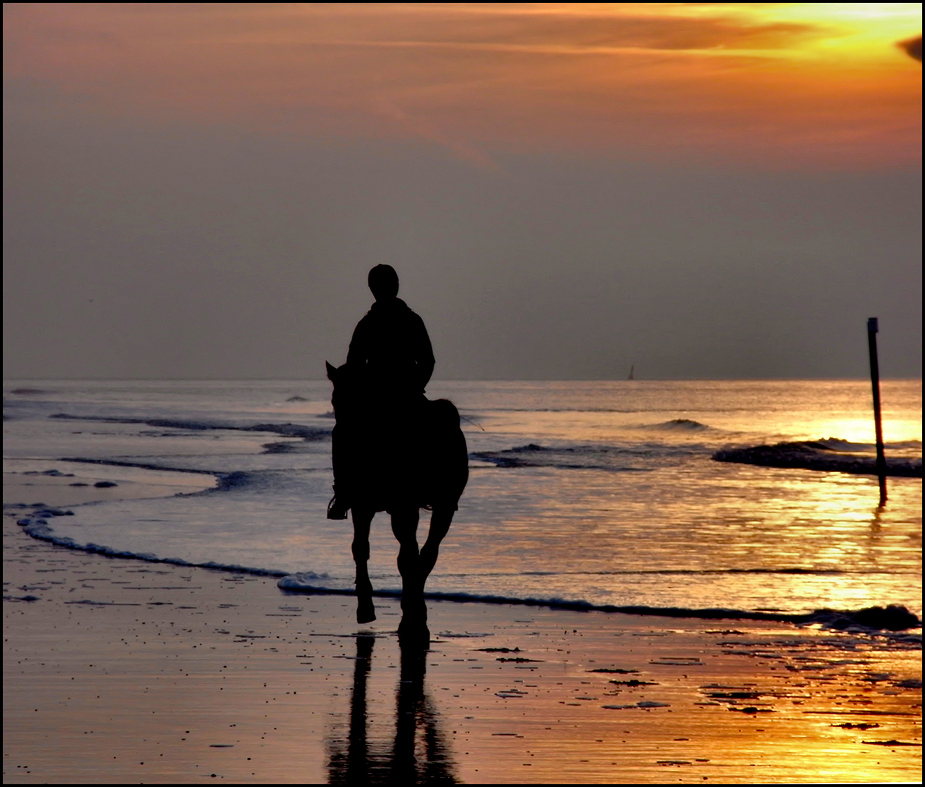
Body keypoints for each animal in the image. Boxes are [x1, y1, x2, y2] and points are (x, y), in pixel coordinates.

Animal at [326, 360, 470, 644]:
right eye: (335, 400)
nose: (346, 434)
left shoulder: (382, 505)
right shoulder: (364, 504)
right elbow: (362, 548)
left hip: (425, 507)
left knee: (417, 554)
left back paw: (413, 614)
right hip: (435, 506)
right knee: (422, 554)